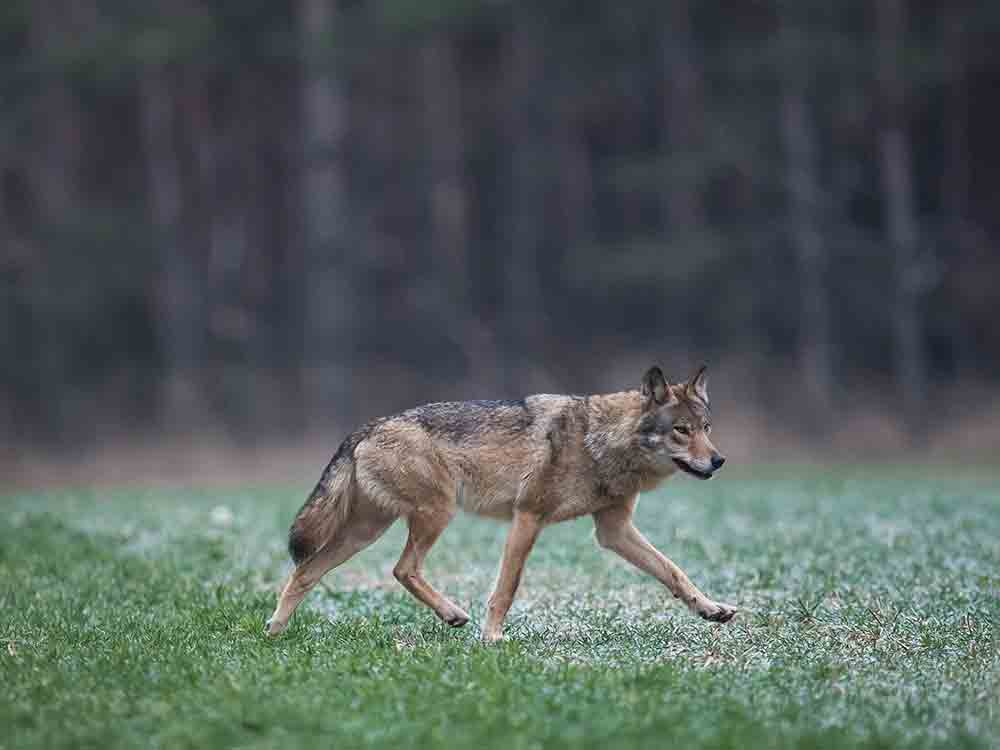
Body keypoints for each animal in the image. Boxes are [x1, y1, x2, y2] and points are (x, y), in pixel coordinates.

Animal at [266, 365, 736, 641]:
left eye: (706, 427)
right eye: (681, 430)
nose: (719, 460)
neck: (599, 441)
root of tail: (366, 427)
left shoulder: (613, 530)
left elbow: (673, 570)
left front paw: (711, 609)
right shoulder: (528, 518)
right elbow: (506, 588)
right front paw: (492, 639)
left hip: (366, 531)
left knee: (307, 572)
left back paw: (274, 632)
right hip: (434, 514)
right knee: (401, 569)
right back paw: (454, 614)